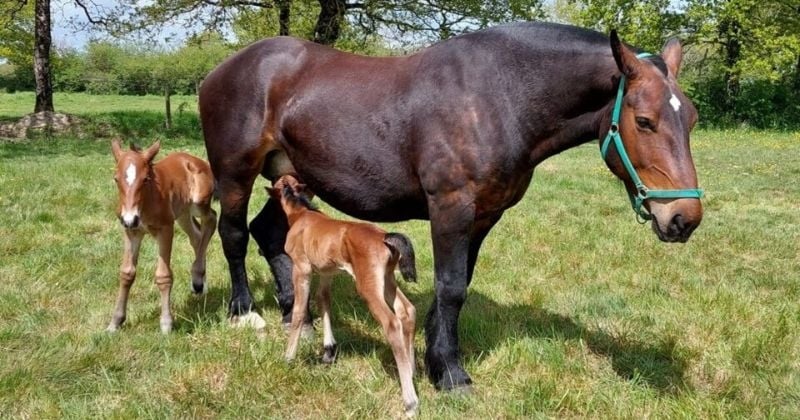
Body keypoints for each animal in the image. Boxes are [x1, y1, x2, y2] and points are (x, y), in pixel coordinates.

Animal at [108, 139, 219, 334]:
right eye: (116, 178)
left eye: (145, 179)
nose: (130, 218)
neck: (147, 200)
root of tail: (195, 160)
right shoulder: (131, 232)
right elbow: (126, 273)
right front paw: (116, 321)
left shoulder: (166, 229)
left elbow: (163, 275)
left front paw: (166, 324)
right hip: (183, 213)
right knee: (197, 236)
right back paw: (200, 284)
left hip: (198, 204)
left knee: (211, 219)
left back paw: (198, 276)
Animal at [202, 22, 708, 390]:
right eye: (644, 121)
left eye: (692, 118)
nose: (683, 218)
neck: (500, 95)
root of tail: (217, 72)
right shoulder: (450, 208)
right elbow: (449, 288)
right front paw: (450, 373)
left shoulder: (484, 215)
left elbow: (459, 284)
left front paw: (434, 357)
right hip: (236, 175)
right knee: (234, 235)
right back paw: (243, 312)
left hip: (287, 177)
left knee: (271, 235)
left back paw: (296, 315)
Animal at [268, 175, 418, 416]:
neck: (301, 214)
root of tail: (385, 237)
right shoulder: (326, 271)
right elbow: (323, 300)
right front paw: (328, 352)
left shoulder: (301, 268)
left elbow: (299, 311)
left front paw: (288, 357)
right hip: (387, 279)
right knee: (407, 310)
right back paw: (411, 372)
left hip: (367, 285)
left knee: (392, 323)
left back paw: (410, 402)